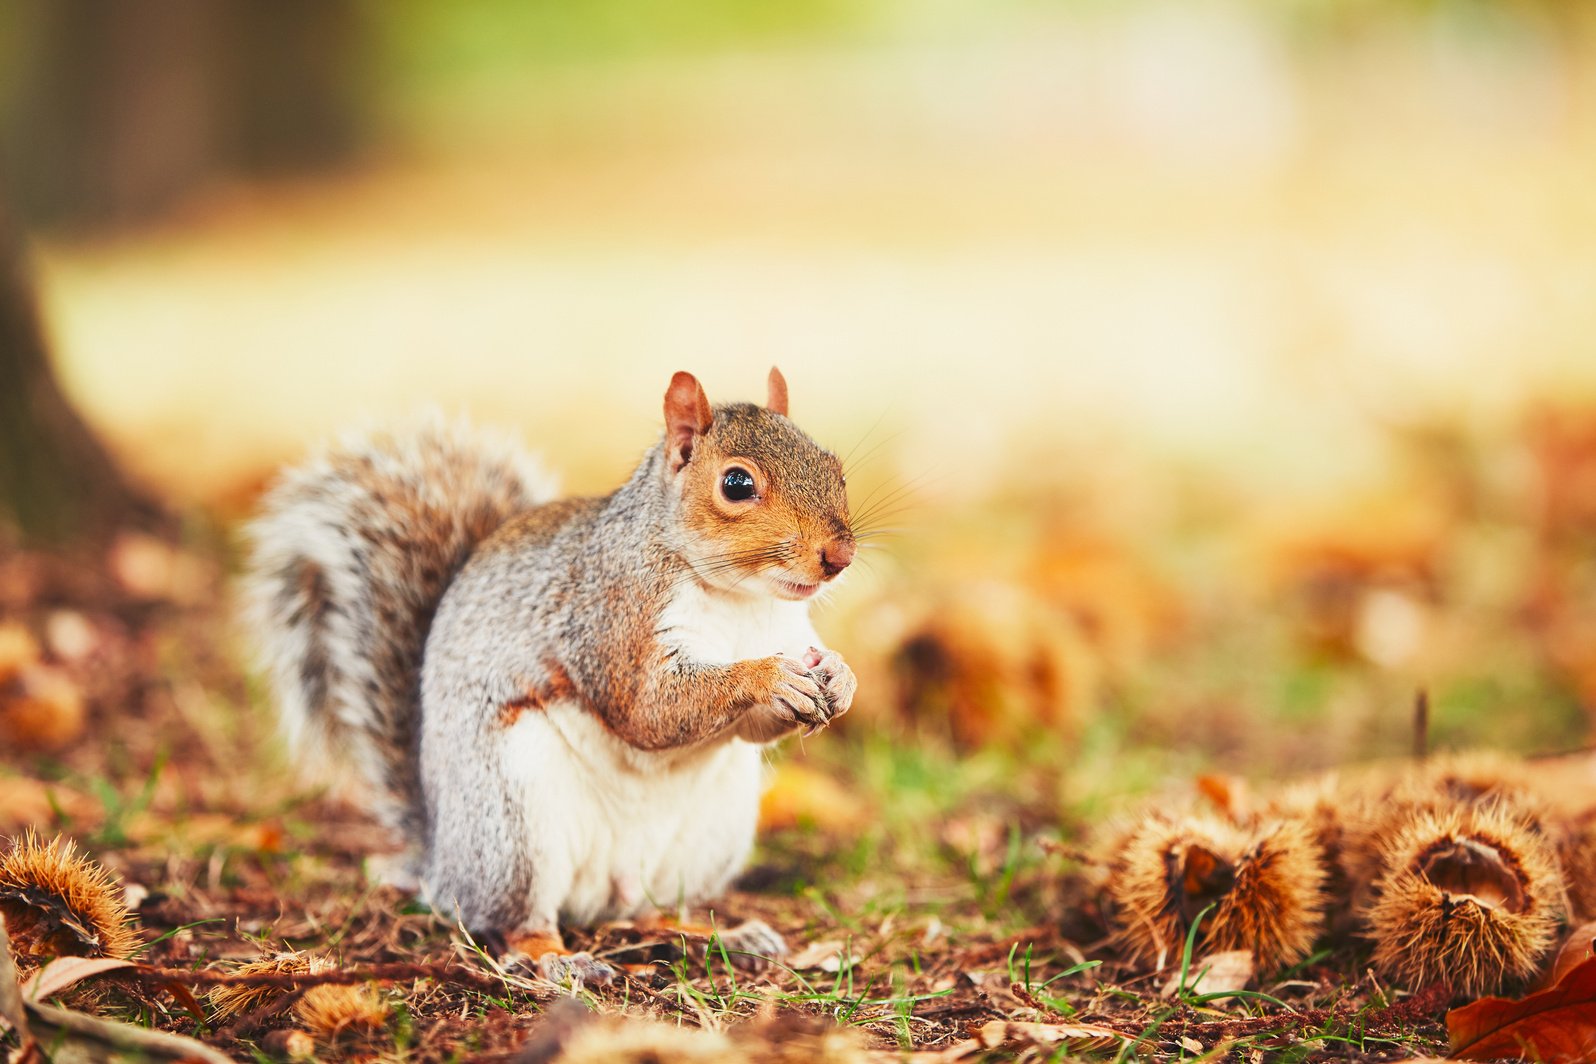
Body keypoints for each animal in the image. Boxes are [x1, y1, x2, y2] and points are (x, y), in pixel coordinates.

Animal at [244, 370, 861, 989]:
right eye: (736, 483)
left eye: (836, 468)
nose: (839, 556)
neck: (740, 600)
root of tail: (440, 858)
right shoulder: (614, 617)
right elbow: (648, 711)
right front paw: (768, 677)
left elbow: (757, 721)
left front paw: (841, 676)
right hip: (513, 825)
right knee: (515, 921)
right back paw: (557, 958)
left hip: (710, 835)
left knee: (650, 912)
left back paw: (723, 934)